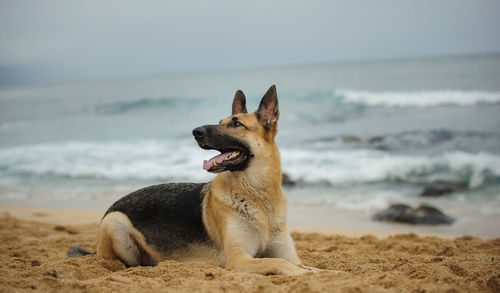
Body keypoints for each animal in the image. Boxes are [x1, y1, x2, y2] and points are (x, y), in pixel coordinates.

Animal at [68, 84, 306, 274]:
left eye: (236, 124)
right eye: (221, 121)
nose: (195, 131)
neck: (257, 194)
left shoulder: (289, 255)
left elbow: (300, 264)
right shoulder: (238, 259)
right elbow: (279, 263)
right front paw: (301, 274)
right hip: (115, 222)